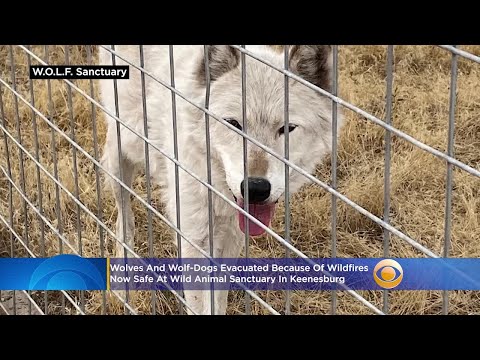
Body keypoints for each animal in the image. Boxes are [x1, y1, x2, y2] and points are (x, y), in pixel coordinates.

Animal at [98, 45, 342, 316]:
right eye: (233, 124)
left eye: (287, 129)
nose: (256, 188)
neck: (215, 186)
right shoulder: (194, 240)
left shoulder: (231, 237)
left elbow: (218, 299)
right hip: (118, 158)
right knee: (124, 219)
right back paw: (122, 286)